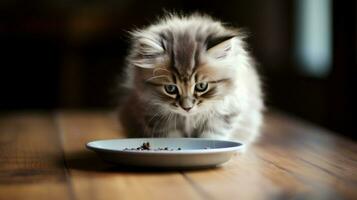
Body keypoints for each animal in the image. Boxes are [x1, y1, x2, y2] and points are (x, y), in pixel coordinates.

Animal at [118, 14, 262, 145]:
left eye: (201, 86)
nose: (187, 108)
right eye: (170, 88)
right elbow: (171, 138)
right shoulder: (154, 115)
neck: (189, 117)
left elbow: (212, 136)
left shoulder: (225, 113)